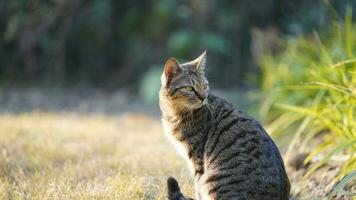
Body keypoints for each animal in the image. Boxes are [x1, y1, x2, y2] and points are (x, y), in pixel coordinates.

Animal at [159, 50, 290, 199]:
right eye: (189, 88)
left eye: (205, 86)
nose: (203, 97)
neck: (174, 113)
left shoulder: (197, 161)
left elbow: (198, 189)